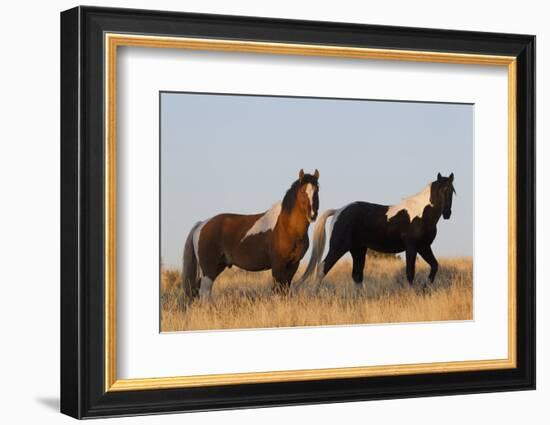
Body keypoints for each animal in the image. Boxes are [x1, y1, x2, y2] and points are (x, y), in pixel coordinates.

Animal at [182, 170, 320, 302]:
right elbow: (277, 291)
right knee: (204, 291)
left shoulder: (293, 264)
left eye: (317, 190)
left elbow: (285, 290)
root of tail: (201, 225)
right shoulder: (278, 264)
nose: (313, 214)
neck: (287, 227)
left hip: (218, 266)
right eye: (302, 191)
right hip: (208, 268)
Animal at [298, 172, 458, 288]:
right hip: (339, 247)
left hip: (358, 250)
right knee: (322, 269)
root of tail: (338, 211)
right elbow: (410, 273)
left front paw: (426, 286)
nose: (447, 213)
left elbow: (434, 266)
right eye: (441, 190)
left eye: (452, 191)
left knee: (357, 276)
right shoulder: (412, 247)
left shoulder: (424, 246)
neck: (421, 213)